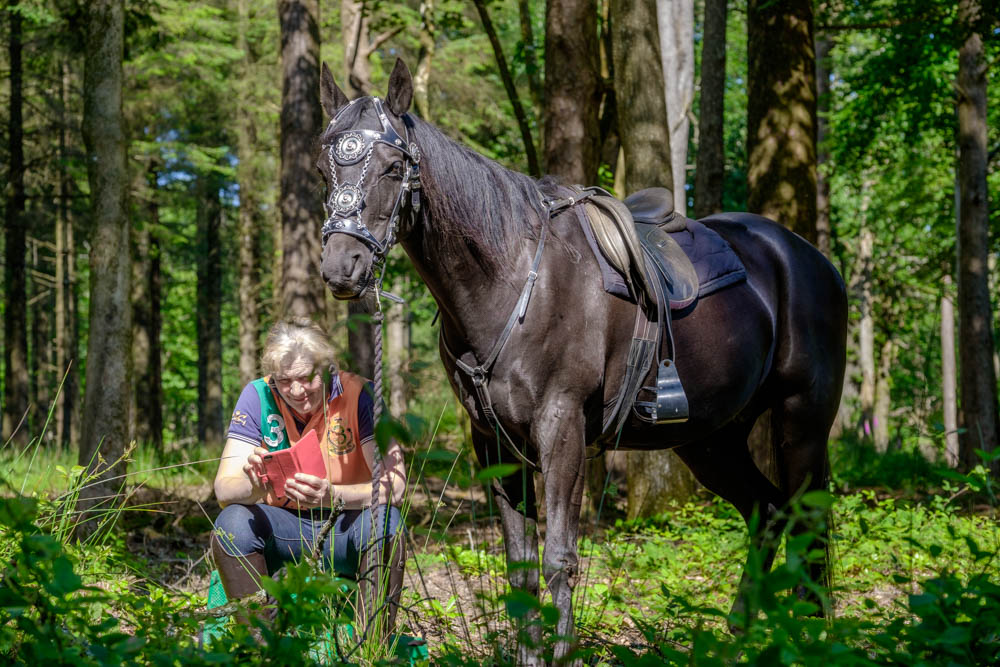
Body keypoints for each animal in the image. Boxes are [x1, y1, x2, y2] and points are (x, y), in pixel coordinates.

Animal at [318, 61, 844, 664]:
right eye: (325, 166)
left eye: (393, 165)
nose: (341, 266)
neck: (513, 276)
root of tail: (810, 259)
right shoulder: (494, 442)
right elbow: (521, 570)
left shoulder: (561, 428)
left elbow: (559, 561)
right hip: (713, 439)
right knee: (768, 512)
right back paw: (741, 634)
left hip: (801, 420)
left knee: (808, 526)